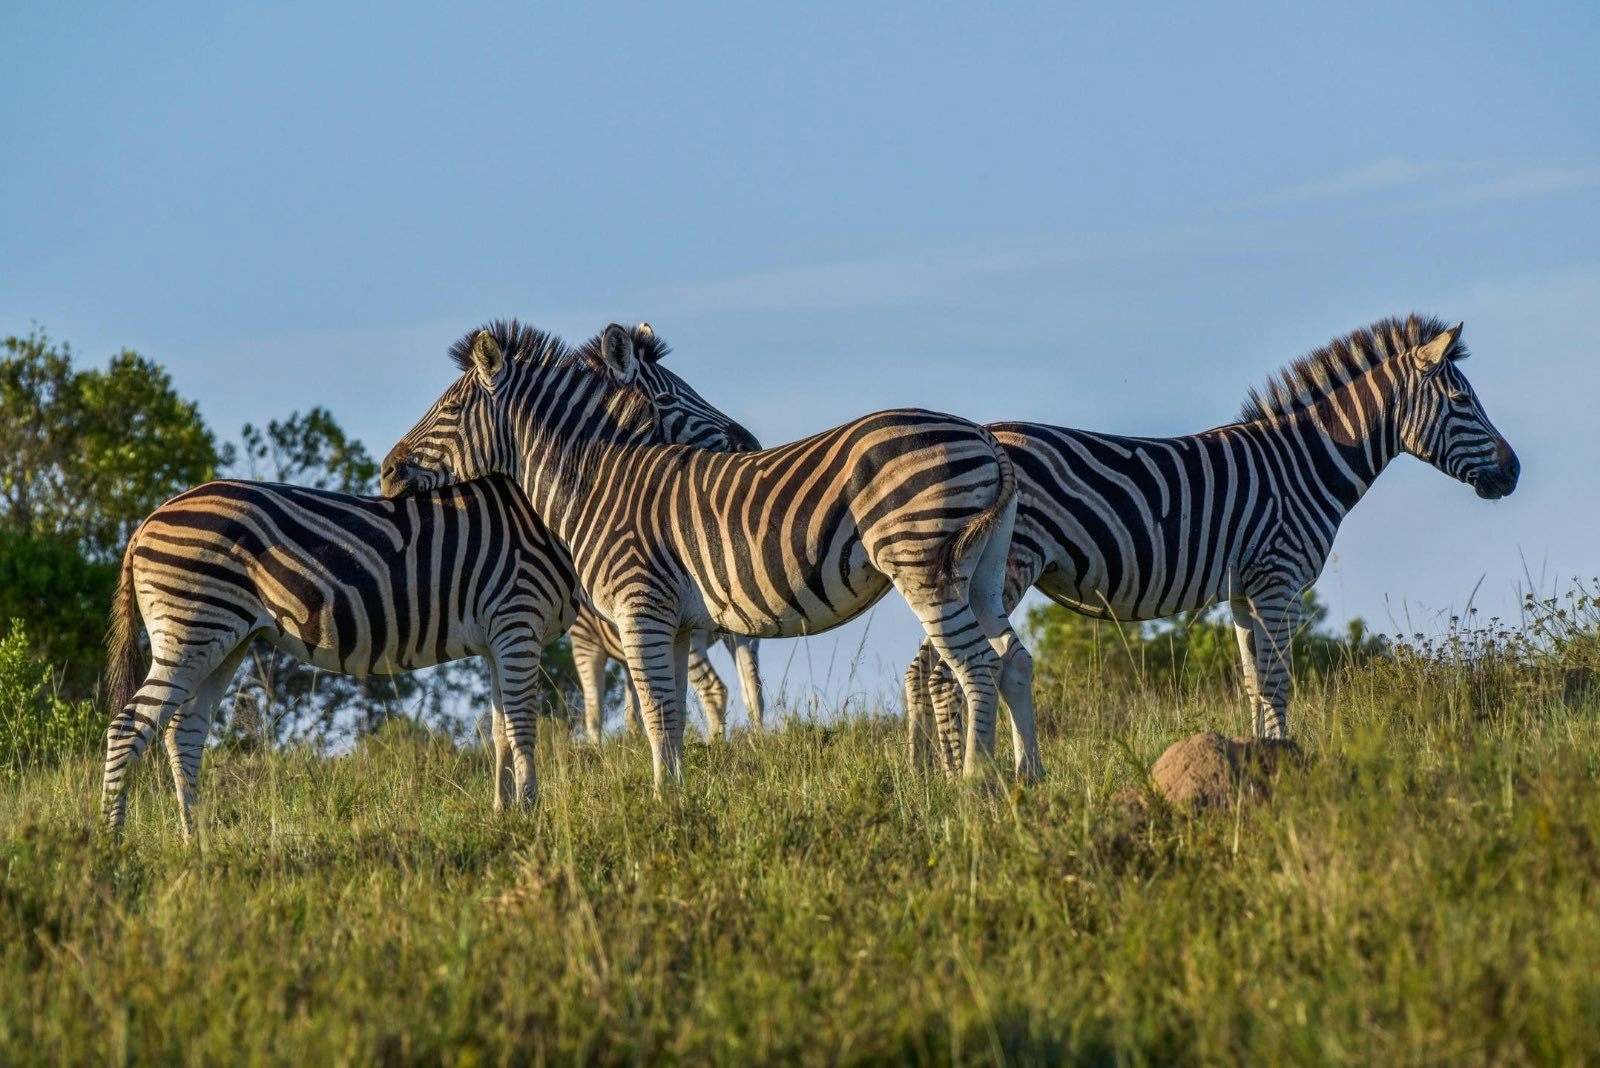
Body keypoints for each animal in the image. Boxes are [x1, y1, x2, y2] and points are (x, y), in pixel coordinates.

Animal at [566, 601, 764, 741]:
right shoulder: (632, 653)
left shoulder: (585, 639)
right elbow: (633, 713)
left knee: (715, 689)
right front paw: (634, 747)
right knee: (753, 688)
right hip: (743, 632)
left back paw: (715, 745)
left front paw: (596, 752)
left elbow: (593, 713)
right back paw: (758, 743)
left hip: (685, 635)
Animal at [908, 313, 1516, 770]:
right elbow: (1277, 682)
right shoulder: (1278, 580)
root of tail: (982, 436)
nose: (1514, 473)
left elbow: (1253, 683)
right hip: (1004, 568)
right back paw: (972, 779)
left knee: (923, 670)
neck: (1306, 464)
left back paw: (929, 779)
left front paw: (1264, 756)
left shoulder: (1247, 593)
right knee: (946, 671)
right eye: (1463, 401)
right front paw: (1284, 764)